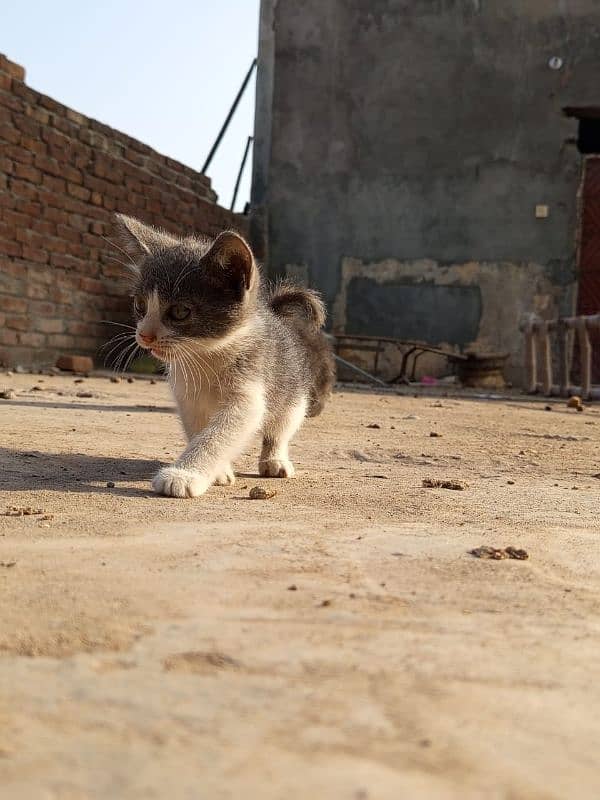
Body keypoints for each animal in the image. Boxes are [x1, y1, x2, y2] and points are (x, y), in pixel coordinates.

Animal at [115, 216, 336, 496]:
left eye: (180, 311)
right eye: (140, 305)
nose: (144, 335)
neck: (205, 355)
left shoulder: (251, 383)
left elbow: (221, 433)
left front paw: (183, 475)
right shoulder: (187, 395)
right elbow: (198, 429)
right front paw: (217, 472)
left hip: (293, 392)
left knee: (281, 426)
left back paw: (275, 459)